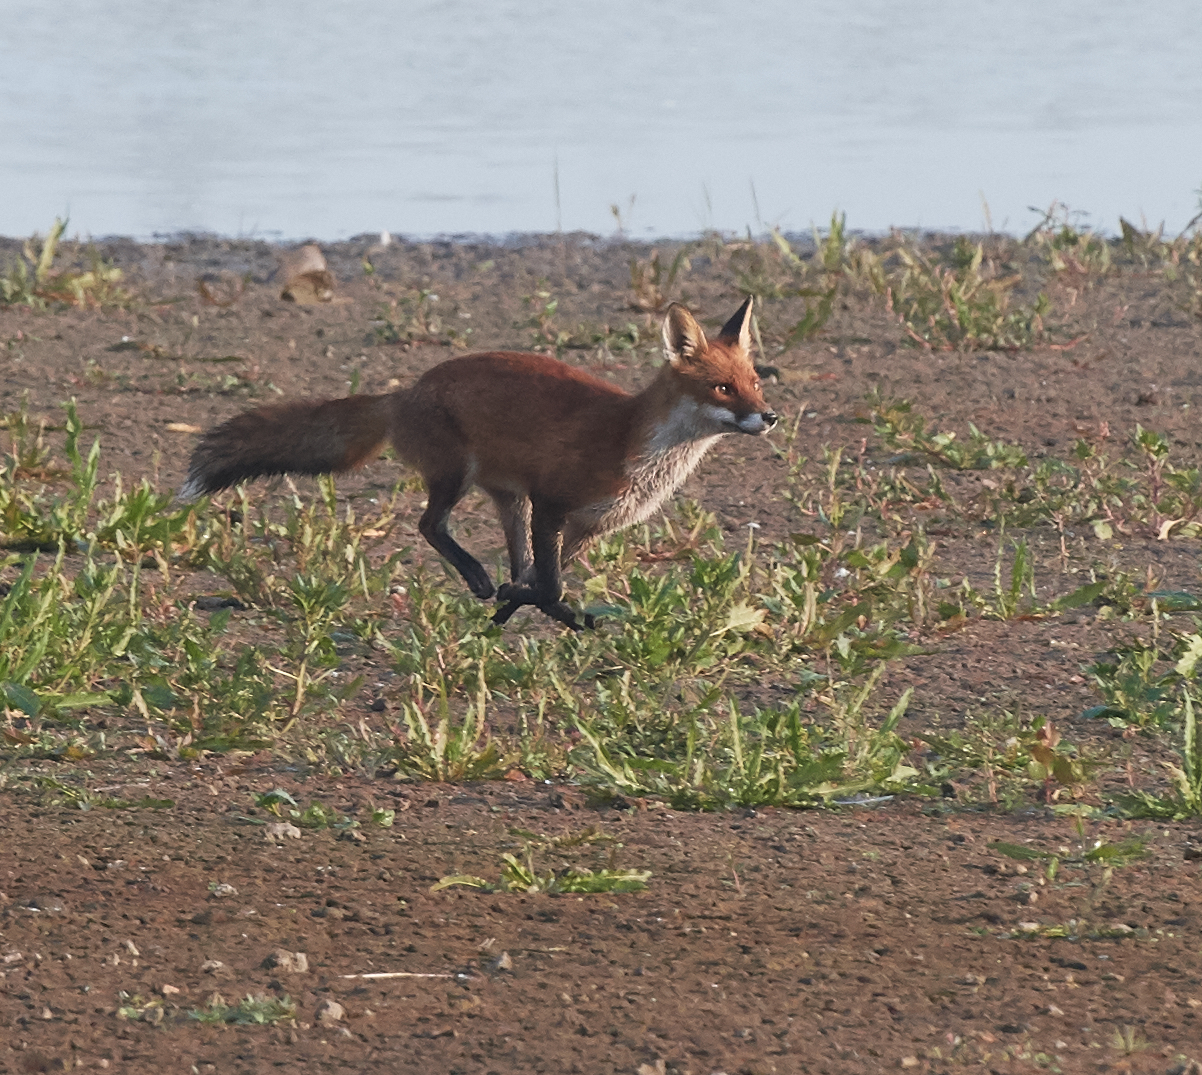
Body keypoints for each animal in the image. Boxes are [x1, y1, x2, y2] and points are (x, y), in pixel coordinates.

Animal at [181, 297, 776, 630]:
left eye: (755, 383)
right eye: (722, 389)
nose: (769, 417)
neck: (636, 445)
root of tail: (404, 391)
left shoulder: (585, 526)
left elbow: (540, 577)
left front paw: (520, 608)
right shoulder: (551, 502)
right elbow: (549, 585)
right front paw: (548, 610)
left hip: (507, 500)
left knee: (508, 559)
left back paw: (500, 600)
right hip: (458, 477)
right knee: (429, 525)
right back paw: (479, 580)